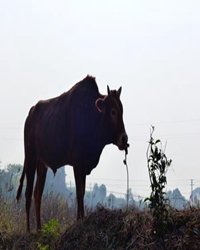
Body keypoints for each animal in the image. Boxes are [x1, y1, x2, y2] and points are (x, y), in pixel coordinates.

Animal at [16, 75, 128, 231]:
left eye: (121, 111)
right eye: (113, 111)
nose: (124, 139)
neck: (92, 116)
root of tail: (30, 115)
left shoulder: (84, 165)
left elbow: (82, 192)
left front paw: (82, 217)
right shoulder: (77, 163)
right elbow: (79, 192)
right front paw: (79, 219)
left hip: (42, 164)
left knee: (37, 193)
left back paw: (39, 228)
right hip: (30, 158)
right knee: (28, 193)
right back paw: (28, 230)